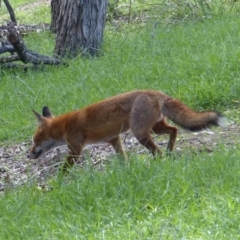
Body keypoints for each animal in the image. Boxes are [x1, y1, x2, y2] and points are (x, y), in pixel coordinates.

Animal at [27, 90, 227, 171]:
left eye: (35, 141)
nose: (28, 155)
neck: (65, 125)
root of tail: (154, 92)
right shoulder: (114, 139)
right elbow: (123, 159)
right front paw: (127, 170)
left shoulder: (75, 150)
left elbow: (63, 170)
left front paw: (58, 184)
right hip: (155, 128)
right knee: (174, 129)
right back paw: (170, 152)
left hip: (141, 134)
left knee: (158, 152)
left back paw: (159, 162)